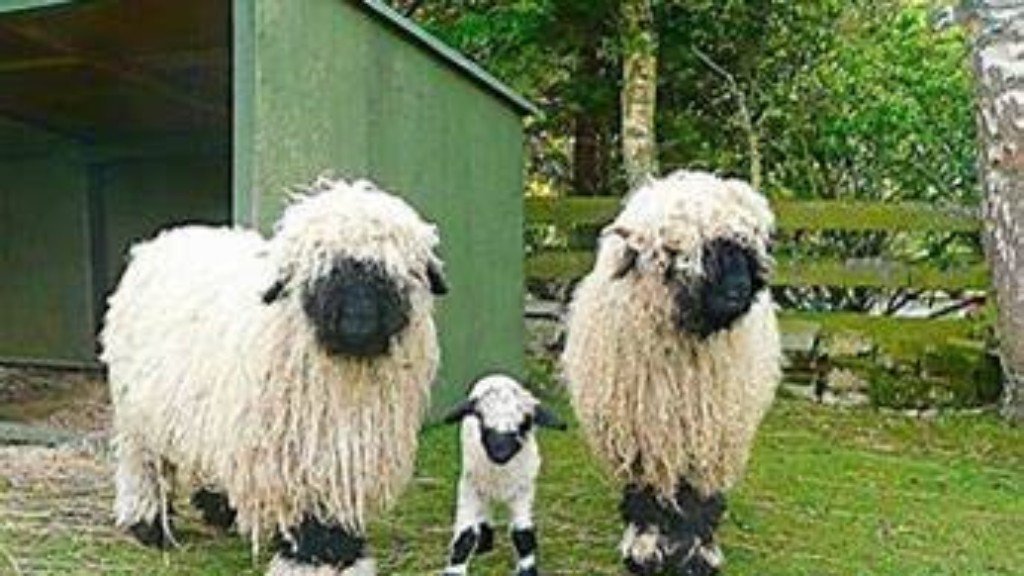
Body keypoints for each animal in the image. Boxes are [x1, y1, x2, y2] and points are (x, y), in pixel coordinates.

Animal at [100, 176, 449, 576]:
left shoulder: (345, 449)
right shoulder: (294, 450)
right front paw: (310, 558)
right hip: (138, 417)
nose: (358, 323)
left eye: (391, 274)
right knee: (143, 466)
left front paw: (342, 555)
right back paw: (148, 524)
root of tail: (163, 240)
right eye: (321, 271)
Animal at [439, 373, 566, 576]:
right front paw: (455, 570)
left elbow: (523, 534)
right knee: (484, 511)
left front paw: (528, 570)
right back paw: (484, 545)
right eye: (481, 421)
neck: (500, 473)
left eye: (524, 424)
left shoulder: (523, 492)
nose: (499, 453)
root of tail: (497, 376)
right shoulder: (469, 488)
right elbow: (466, 535)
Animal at [561, 170, 781, 576]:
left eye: (747, 250)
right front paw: (644, 550)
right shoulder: (641, 434)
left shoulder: (712, 434)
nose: (738, 290)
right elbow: (647, 496)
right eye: (675, 253)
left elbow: (700, 499)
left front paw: (698, 554)